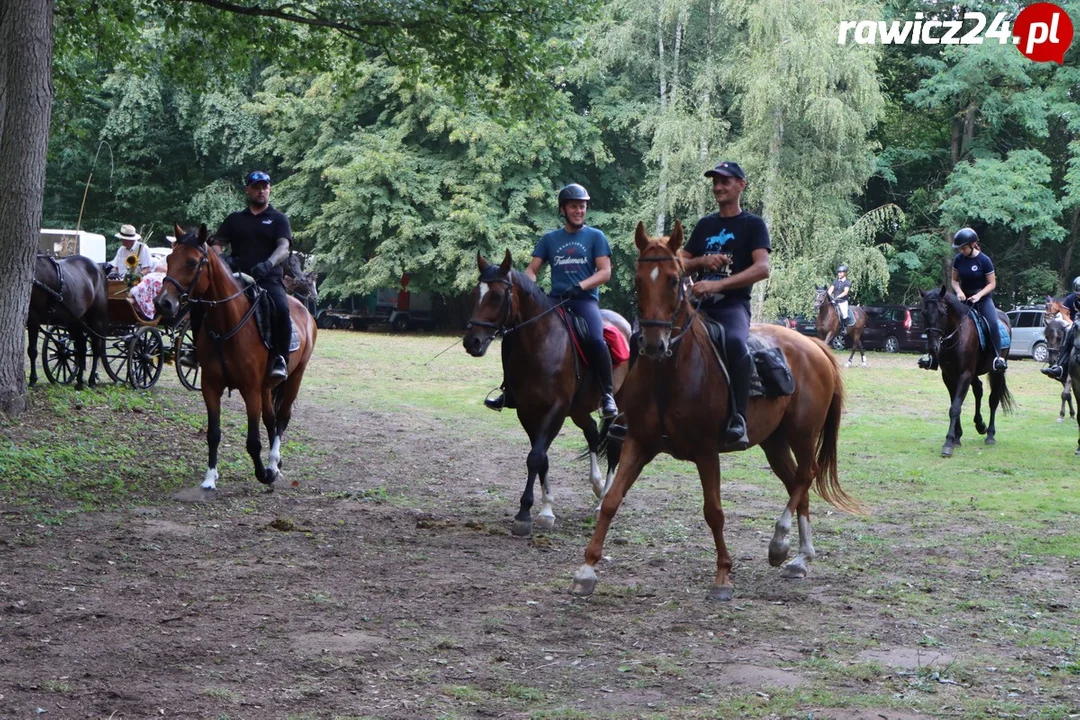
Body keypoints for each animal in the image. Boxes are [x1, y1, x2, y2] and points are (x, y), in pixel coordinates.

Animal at [156, 225, 315, 490]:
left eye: (192, 262)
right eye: (168, 259)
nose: (163, 303)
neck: (227, 323)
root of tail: (305, 312)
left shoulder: (250, 389)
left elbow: (253, 441)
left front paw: (264, 474)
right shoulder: (211, 387)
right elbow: (213, 434)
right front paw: (210, 478)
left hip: (295, 377)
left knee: (282, 418)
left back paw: (273, 463)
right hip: (266, 387)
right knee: (271, 419)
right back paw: (275, 462)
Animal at [460, 250, 630, 537]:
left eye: (496, 296)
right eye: (475, 294)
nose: (472, 343)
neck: (540, 343)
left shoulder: (556, 409)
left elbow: (536, 457)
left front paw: (524, 514)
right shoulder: (528, 411)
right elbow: (542, 458)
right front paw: (546, 509)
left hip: (618, 405)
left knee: (614, 444)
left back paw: (603, 501)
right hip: (579, 409)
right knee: (592, 433)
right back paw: (596, 484)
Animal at [570, 221, 864, 604]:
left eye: (673, 280)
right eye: (638, 280)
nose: (654, 344)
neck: (670, 375)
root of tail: (813, 345)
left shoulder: (707, 452)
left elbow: (714, 512)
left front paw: (723, 576)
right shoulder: (638, 442)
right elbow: (611, 501)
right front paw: (586, 569)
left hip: (802, 433)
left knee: (806, 475)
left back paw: (780, 541)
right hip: (774, 442)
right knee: (795, 481)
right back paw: (800, 557)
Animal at [920, 284, 1010, 459]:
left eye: (942, 313)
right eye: (923, 313)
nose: (933, 348)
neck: (957, 336)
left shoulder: (965, 374)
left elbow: (955, 407)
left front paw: (948, 443)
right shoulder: (948, 376)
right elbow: (954, 403)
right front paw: (957, 437)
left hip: (996, 372)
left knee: (993, 399)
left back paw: (990, 434)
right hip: (973, 374)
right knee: (979, 389)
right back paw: (980, 425)